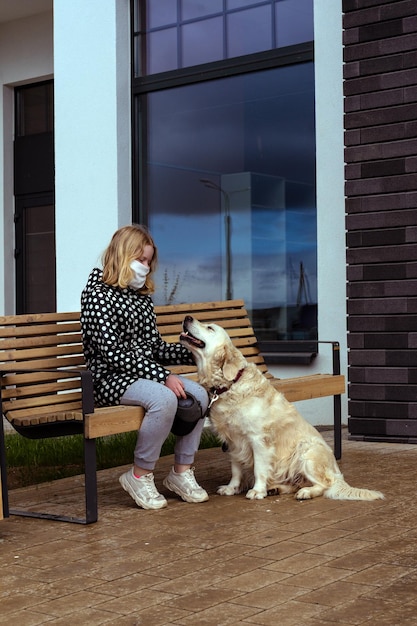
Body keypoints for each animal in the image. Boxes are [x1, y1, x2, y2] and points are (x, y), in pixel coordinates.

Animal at [180, 314, 382, 500]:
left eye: (210, 328)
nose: (187, 317)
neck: (229, 385)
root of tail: (337, 471)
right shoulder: (233, 442)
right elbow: (236, 469)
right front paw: (232, 488)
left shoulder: (258, 439)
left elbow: (259, 468)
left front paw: (257, 491)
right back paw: (276, 488)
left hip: (306, 452)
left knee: (324, 485)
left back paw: (305, 492)